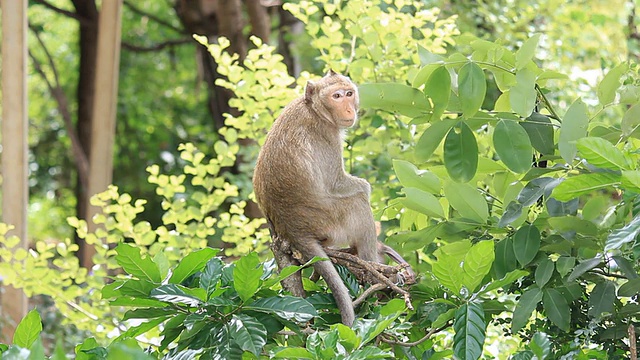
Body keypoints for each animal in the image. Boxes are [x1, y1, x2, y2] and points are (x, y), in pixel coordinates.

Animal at [252, 70, 412, 326]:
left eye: (348, 93)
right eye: (336, 96)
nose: (348, 109)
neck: (314, 109)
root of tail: (294, 231)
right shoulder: (325, 135)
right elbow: (336, 183)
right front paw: (365, 188)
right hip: (330, 220)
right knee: (357, 203)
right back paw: (373, 266)